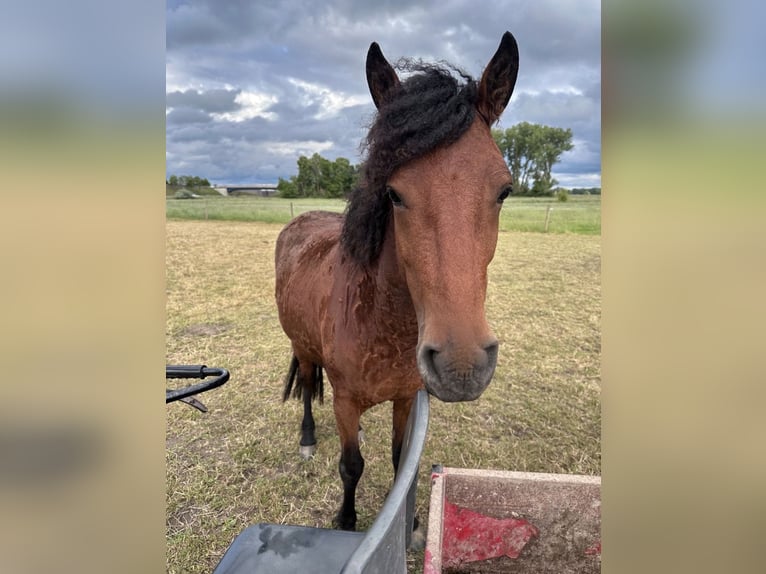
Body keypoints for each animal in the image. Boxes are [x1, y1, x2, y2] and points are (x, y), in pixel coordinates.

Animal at [275, 32, 519, 533]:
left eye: (504, 190)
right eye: (394, 193)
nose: (462, 365)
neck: (380, 320)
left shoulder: (406, 399)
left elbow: (396, 460)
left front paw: (409, 520)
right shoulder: (346, 402)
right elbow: (351, 466)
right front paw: (346, 521)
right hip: (302, 348)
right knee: (307, 386)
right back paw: (307, 437)